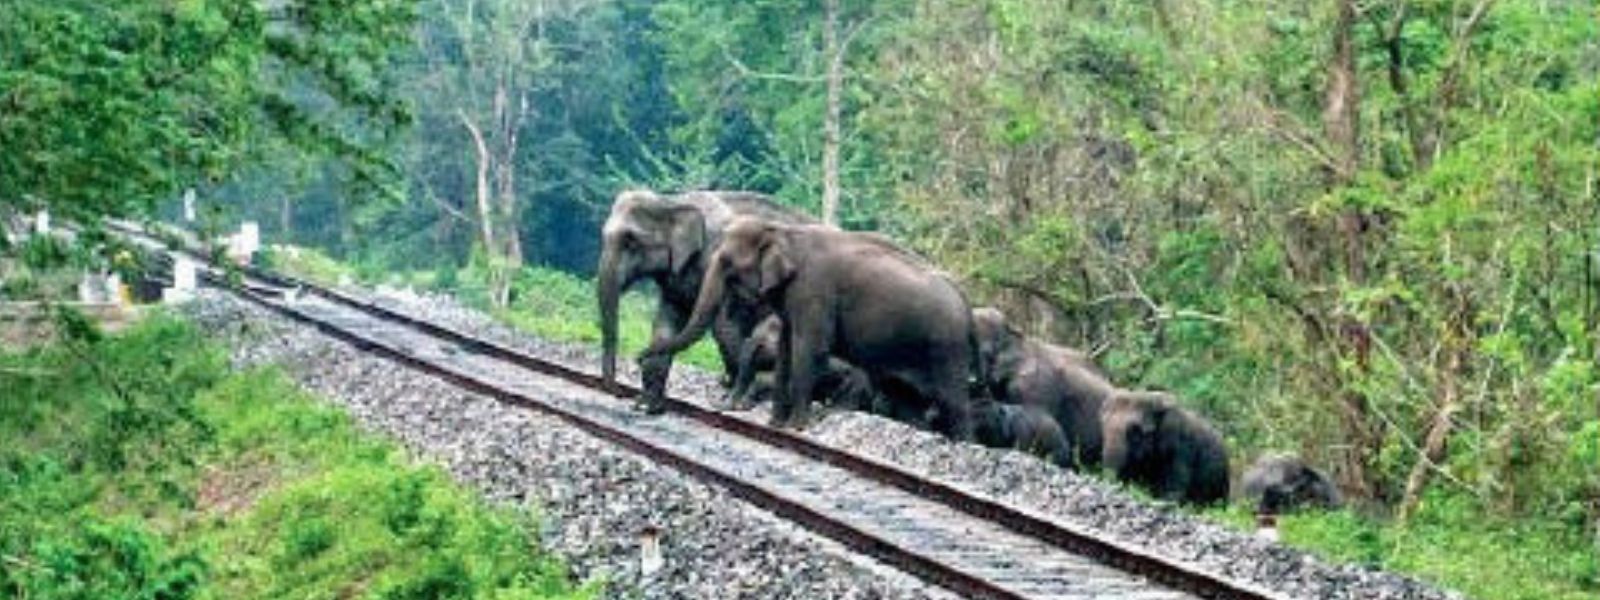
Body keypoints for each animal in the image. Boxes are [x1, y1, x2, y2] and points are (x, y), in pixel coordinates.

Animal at [598, 190, 812, 416]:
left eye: (630, 240)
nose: (619, 393)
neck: (673, 201)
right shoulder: (676, 281)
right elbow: (667, 322)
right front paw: (647, 406)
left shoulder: (721, 263)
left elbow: (724, 327)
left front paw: (733, 401)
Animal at [640, 219, 966, 438]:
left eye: (728, 262)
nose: (639, 355)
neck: (782, 232)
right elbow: (787, 350)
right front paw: (774, 425)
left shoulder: (813, 291)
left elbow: (809, 349)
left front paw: (796, 428)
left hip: (945, 350)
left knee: (953, 400)